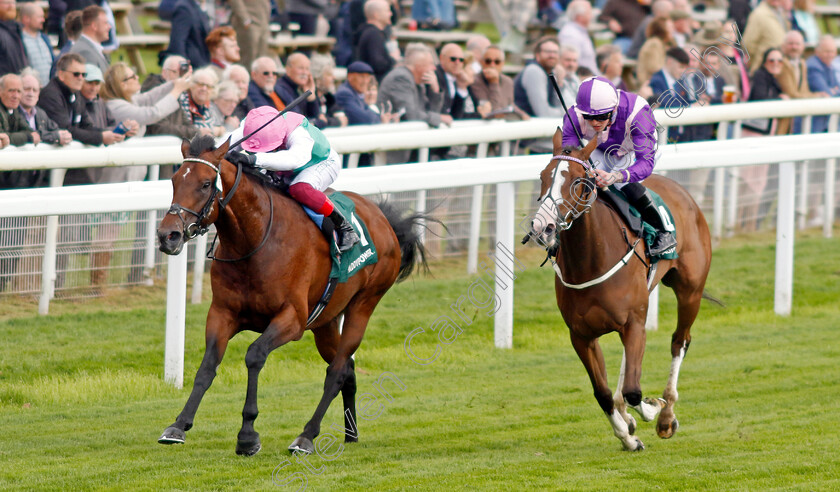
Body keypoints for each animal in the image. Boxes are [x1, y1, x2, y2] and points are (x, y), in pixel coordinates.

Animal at [154, 135, 426, 458]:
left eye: (206, 183)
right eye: (173, 180)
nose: (167, 235)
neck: (255, 241)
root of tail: (382, 218)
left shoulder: (292, 319)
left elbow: (254, 355)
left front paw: (247, 436)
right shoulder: (222, 313)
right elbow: (208, 366)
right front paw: (178, 426)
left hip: (364, 304)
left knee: (336, 371)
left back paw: (306, 436)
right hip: (326, 321)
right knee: (347, 368)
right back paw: (351, 433)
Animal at [528, 129, 712, 452]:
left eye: (579, 181)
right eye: (543, 175)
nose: (543, 227)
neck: (590, 262)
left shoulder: (634, 322)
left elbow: (635, 391)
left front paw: (653, 409)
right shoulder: (581, 336)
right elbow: (603, 393)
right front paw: (628, 436)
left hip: (690, 290)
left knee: (680, 341)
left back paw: (667, 413)